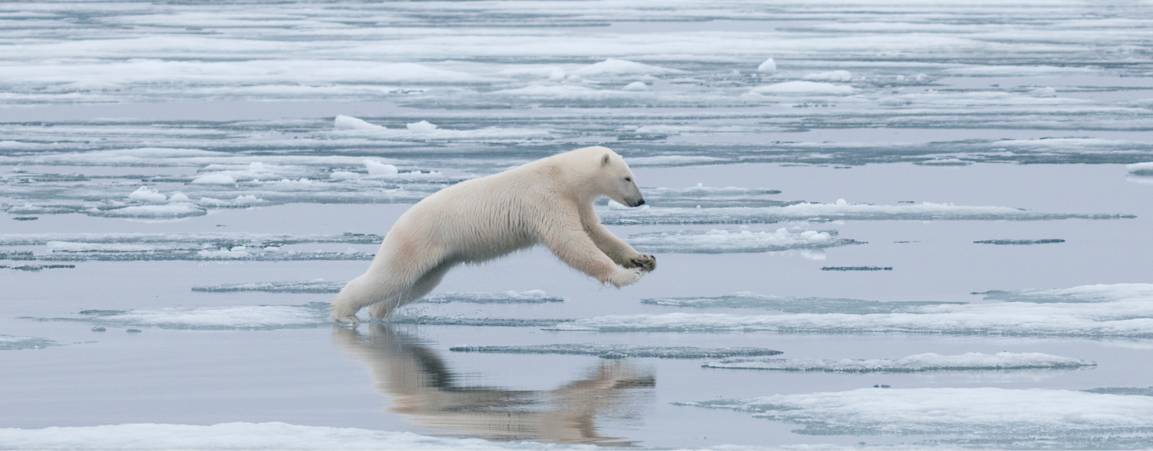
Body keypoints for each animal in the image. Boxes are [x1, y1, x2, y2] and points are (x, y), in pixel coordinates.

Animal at [331, 146, 656, 324]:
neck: (561, 176)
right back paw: (344, 312)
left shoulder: (576, 202)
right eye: (628, 177)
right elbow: (571, 242)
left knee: (415, 285)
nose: (640, 201)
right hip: (416, 240)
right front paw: (625, 276)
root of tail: (397, 223)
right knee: (389, 277)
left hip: (438, 259)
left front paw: (643, 259)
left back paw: (379, 312)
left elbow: (596, 233)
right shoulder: (545, 199)